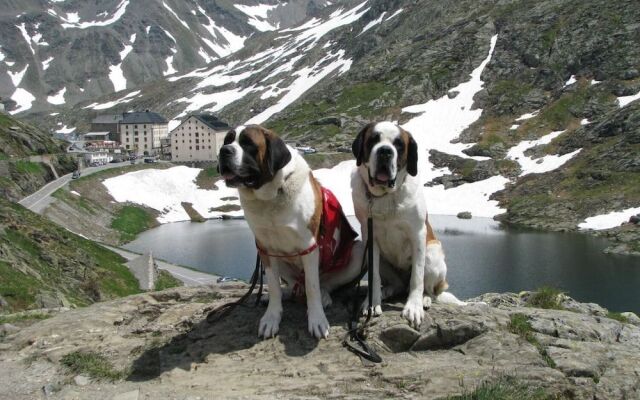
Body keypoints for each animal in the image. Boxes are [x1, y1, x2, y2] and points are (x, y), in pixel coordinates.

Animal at [218, 124, 362, 338]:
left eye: (248, 144)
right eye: (227, 141)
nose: (223, 151)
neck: (272, 195)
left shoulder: (308, 246)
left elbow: (312, 287)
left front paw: (317, 319)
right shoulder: (265, 249)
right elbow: (274, 286)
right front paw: (272, 317)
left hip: (357, 252)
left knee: (322, 283)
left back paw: (324, 296)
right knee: (294, 284)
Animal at [350, 121, 456, 328]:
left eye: (399, 144)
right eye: (373, 139)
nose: (384, 151)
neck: (385, 196)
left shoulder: (418, 234)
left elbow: (417, 277)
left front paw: (413, 307)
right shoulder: (369, 236)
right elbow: (374, 277)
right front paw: (372, 303)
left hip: (433, 253)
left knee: (428, 288)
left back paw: (425, 299)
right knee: (397, 285)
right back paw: (386, 291)